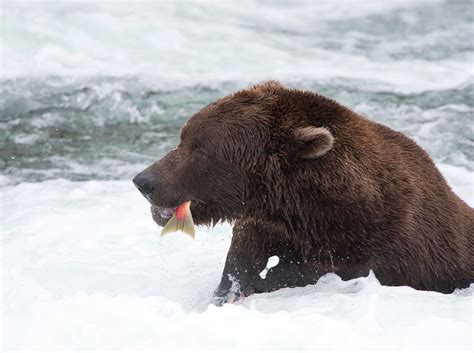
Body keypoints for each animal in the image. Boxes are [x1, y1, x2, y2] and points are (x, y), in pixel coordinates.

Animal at [132, 80, 474, 302]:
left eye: (201, 149)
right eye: (184, 137)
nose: (144, 181)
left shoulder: (378, 249)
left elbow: (303, 273)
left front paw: (263, 282)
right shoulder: (268, 225)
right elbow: (242, 259)